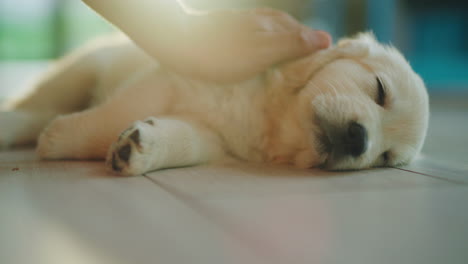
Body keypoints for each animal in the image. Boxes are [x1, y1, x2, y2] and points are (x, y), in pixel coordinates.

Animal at [0, 32, 430, 174]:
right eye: (379, 90)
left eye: (385, 158)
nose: (359, 140)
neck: (268, 117)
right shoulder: (167, 77)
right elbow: (114, 113)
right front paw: (61, 138)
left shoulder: (217, 142)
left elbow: (189, 141)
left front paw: (138, 147)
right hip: (83, 68)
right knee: (35, 104)